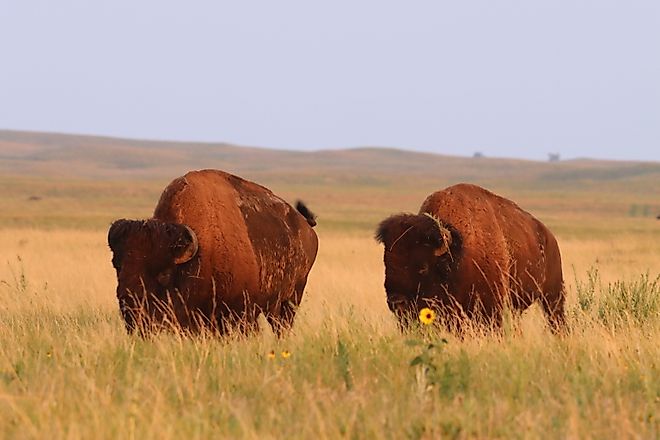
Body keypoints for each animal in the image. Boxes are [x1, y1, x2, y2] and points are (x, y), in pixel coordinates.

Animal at [108, 169, 318, 335]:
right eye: (117, 266)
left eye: (164, 274)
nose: (129, 305)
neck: (198, 254)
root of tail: (307, 227)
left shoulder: (241, 313)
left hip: (290, 300)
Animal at [376, 183, 566, 333]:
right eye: (386, 264)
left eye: (423, 267)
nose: (396, 302)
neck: (456, 254)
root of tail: (548, 236)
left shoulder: (491, 309)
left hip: (552, 297)